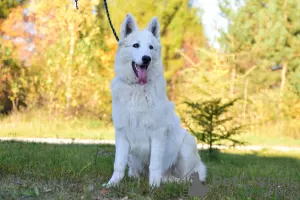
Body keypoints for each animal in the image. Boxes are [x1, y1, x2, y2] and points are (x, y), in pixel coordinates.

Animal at [105, 14, 206, 188]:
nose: (146, 58)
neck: (137, 89)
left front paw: (153, 186)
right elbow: (118, 164)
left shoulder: (158, 134)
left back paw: (169, 181)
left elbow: (155, 164)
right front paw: (112, 184)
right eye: (136, 45)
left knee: (188, 177)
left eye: (151, 47)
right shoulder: (122, 134)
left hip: (187, 144)